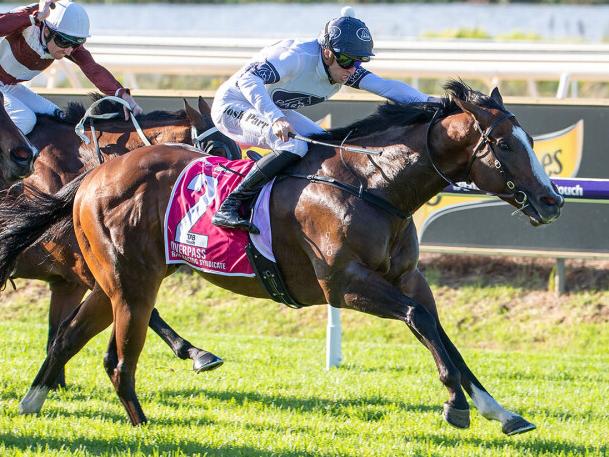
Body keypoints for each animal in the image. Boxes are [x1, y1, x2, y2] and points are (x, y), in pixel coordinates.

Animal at [2, 95, 240, 384]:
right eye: (216, 148)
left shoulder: (67, 282)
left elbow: (58, 331)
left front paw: (54, 383)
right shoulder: (93, 269)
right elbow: (146, 310)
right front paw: (197, 353)